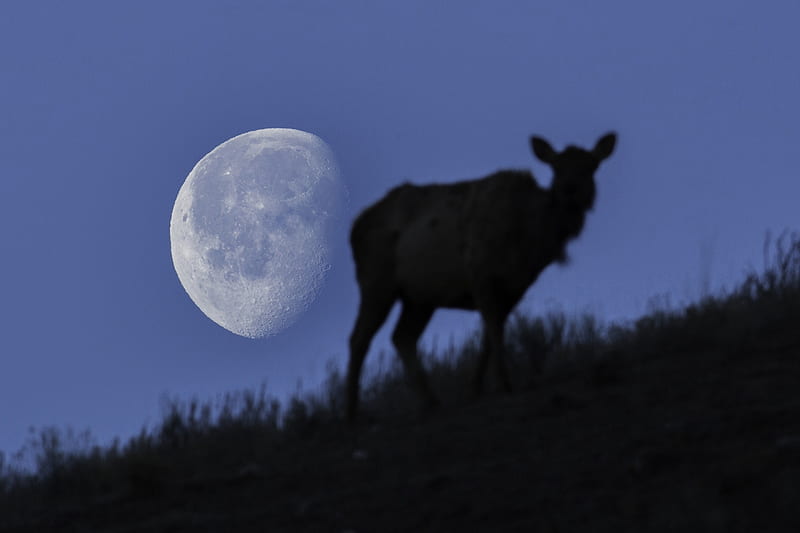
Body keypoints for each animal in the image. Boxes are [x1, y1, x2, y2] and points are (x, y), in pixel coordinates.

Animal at [346, 132, 616, 420]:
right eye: (556, 166)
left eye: (591, 166)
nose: (570, 190)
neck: (530, 241)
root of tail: (354, 229)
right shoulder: (480, 272)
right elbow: (494, 331)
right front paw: (504, 384)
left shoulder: (513, 288)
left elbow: (489, 334)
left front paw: (475, 389)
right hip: (376, 281)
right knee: (359, 338)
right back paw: (351, 412)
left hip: (419, 298)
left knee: (402, 337)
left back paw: (431, 402)